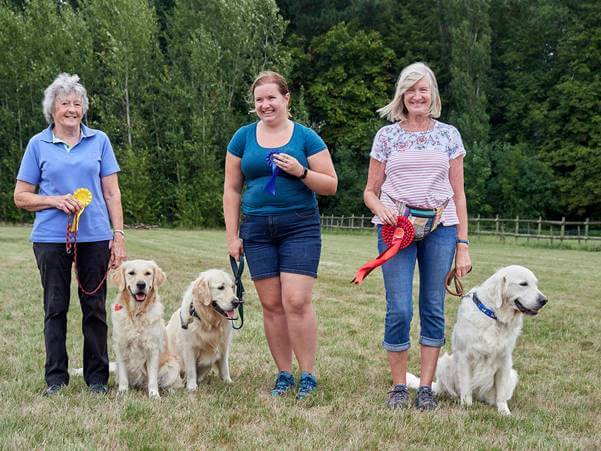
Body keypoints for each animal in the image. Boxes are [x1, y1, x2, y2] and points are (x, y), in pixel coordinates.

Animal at [109, 262, 180, 400]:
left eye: (148, 273)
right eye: (131, 273)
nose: (141, 284)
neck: (137, 313)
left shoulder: (153, 349)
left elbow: (152, 379)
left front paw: (154, 395)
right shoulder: (120, 347)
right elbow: (124, 378)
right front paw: (122, 392)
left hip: (172, 367)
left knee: (171, 384)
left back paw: (171, 391)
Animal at [406, 264, 548, 416]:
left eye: (536, 284)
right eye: (523, 284)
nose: (544, 300)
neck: (494, 315)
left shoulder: (505, 360)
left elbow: (501, 394)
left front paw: (504, 412)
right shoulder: (465, 357)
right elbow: (466, 386)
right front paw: (467, 406)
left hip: (512, 374)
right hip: (445, 363)